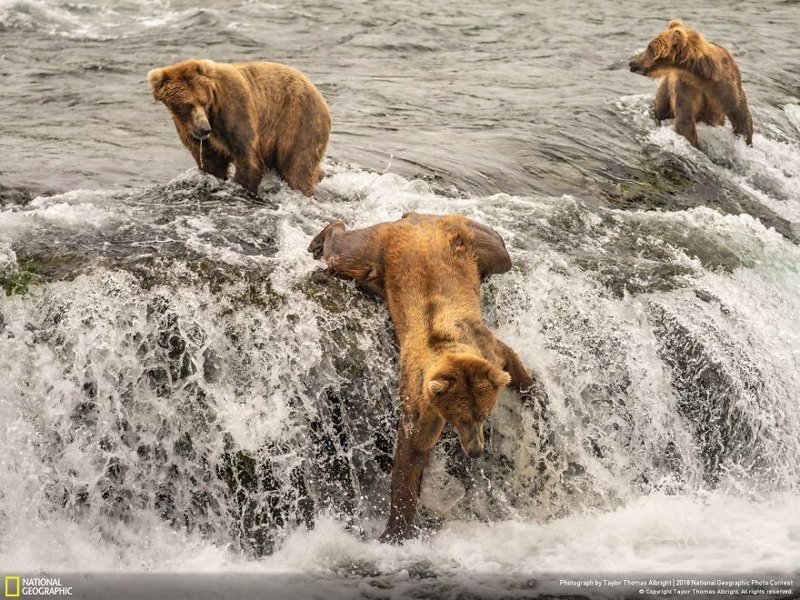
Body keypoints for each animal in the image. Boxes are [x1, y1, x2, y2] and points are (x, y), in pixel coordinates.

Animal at [145, 59, 330, 195]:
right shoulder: (190, 130)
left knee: (298, 167)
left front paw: (242, 185)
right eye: (186, 105)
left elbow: (247, 156)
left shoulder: (234, 107)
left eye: (203, 102)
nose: (205, 129)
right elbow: (210, 161)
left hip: (298, 121)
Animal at [306, 212, 536, 544]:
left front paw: (532, 393)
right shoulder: (420, 397)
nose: (476, 451)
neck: (446, 345)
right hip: (379, 250)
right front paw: (395, 529)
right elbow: (412, 452)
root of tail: (415, 220)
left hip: (469, 240)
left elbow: (511, 362)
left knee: (501, 253)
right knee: (347, 255)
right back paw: (322, 238)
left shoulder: (487, 349)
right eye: (460, 417)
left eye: (483, 414)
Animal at [632, 21, 752, 149]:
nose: (632, 63)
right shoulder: (685, 89)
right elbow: (685, 121)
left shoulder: (724, 86)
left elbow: (740, 114)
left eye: (650, 48)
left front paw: (745, 141)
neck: (700, 76)